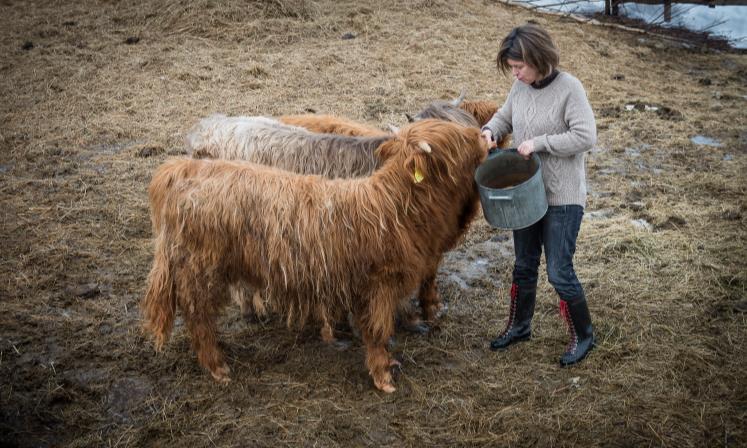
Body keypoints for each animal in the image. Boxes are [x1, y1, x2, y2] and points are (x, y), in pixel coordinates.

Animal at [142, 120, 490, 392]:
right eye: (458, 140)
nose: (484, 136)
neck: (397, 207)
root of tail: (180, 170)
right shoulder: (379, 286)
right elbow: (378, 331)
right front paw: (383, 376)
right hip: (200, 271)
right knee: (198, 316)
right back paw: (218, 367)